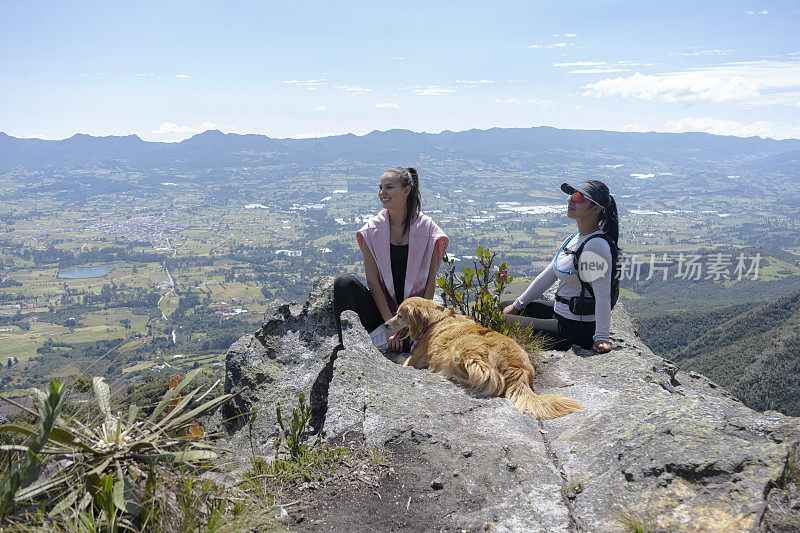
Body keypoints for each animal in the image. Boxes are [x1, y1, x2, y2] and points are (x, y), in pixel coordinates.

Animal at [386, 298, 580, 418]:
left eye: (399, 315)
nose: (386, 324)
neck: (434, 321)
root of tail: (519, 368)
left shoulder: (415, 360)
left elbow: (404, 361)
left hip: (462, 349)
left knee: (492, 381)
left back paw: (453, 376)